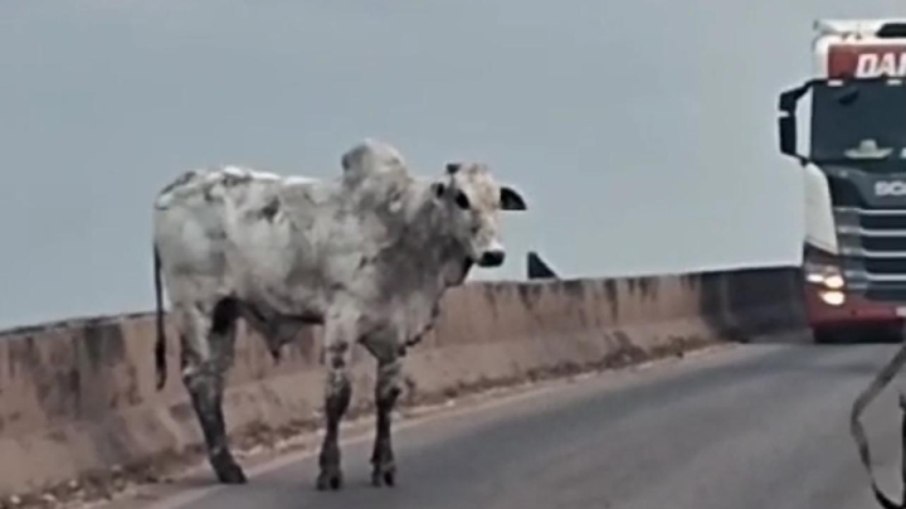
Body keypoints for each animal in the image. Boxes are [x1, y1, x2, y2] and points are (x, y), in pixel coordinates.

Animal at [152, 139, 528, 488]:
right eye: (461, 198)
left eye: (498, 201)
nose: (494, 253)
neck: (404, 230)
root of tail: (173, 189)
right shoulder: (341, 322)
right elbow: (337, 397)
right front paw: (329, 470)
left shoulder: (394, 335)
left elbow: (386, 398)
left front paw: (384, 467)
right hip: (195, 308)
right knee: (199, 378)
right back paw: (227, 467)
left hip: (224, 315)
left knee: (214, 380)